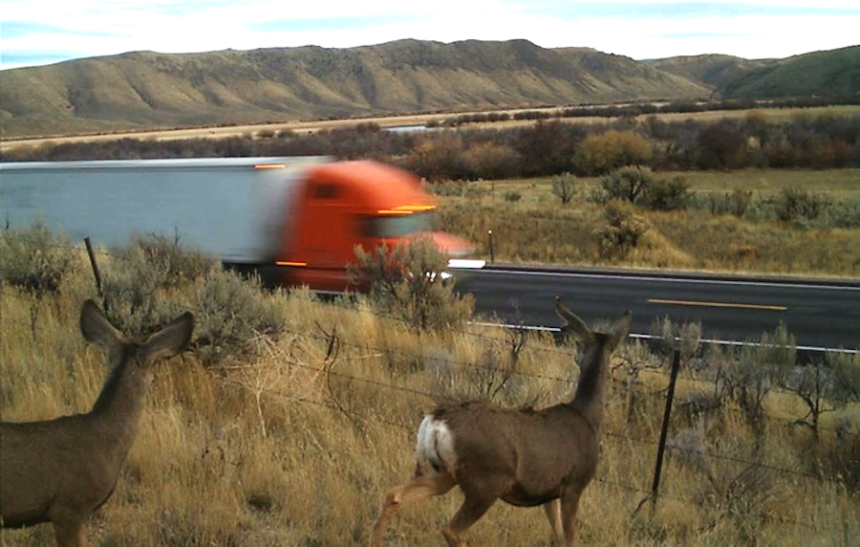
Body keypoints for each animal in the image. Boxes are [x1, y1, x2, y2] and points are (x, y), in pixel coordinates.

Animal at [369, 296, 631, 546]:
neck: (588, 416)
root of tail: (437, 424)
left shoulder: (549, 492)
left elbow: (557, 536)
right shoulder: (574, 484)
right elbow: (569, 538)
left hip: (437, 472)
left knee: (393, 496)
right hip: (487, 480)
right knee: (452, 529)